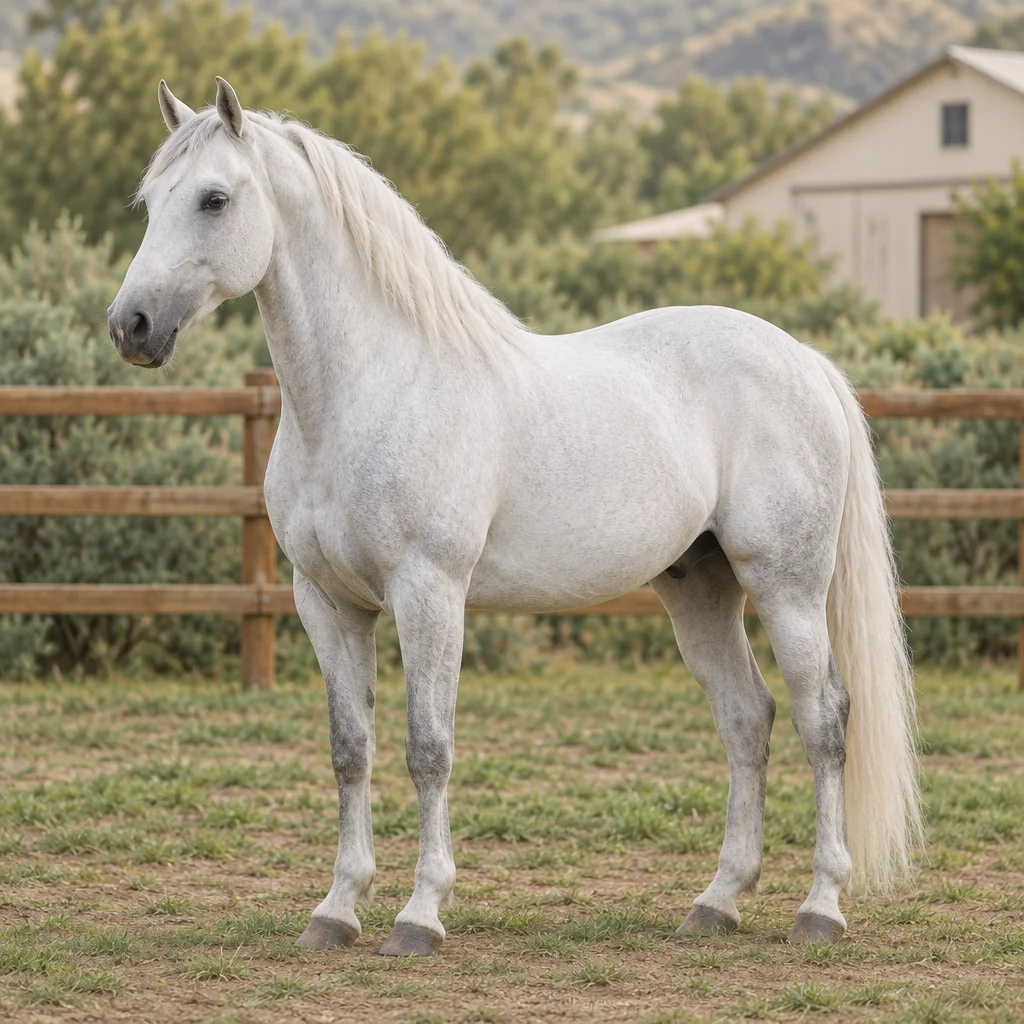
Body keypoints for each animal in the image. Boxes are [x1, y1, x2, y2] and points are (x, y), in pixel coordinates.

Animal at [108, 77, 923, 957]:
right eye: (150, 200)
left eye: (215, 199)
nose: (131, 327)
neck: (371, 387)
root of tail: (805, 360)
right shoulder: (325, 602)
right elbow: (349, 750)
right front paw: (336, 909)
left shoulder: (430, 592)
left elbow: (428, 749)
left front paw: (420, 914)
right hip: (700, 589)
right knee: (748, 719)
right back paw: (717, 901)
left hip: (787, 585)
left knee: (822, 719)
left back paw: (821, 906)